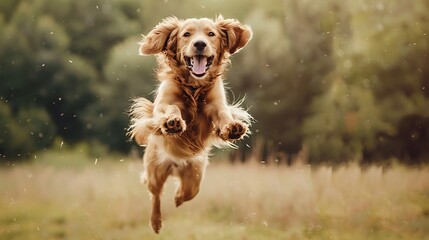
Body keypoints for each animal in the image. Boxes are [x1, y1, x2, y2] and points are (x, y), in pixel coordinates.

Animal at [129, 15, 252, 233]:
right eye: (186, 34)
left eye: (211, 34)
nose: (200, 44)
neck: (194, 86)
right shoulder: (164, 103)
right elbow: (171, 109)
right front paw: (173, 123)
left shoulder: (216, 105)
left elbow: (223, 115)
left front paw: (233, 128)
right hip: (155, 172)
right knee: (155, 195)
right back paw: (156, 222)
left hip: (195, 176)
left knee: (187, 192)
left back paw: (178, 197)